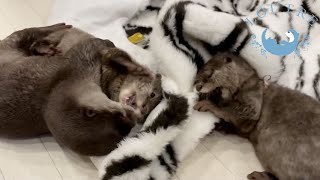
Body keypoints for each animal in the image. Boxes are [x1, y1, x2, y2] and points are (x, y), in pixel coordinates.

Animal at [192, 53, 320, 180]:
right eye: (196, 77)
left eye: (209, 74)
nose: (198, 87)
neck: (245, 82)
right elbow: (238, 127)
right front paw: (222, 126)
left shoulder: (253, 100)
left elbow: (230, 109)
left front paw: (209, 104)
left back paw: (257, 176)